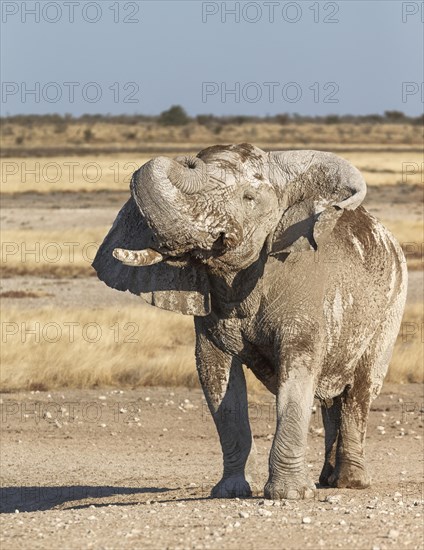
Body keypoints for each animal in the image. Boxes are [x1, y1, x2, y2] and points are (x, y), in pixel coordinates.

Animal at [92, 142, 408, 500]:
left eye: (248, 198)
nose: (188, 160)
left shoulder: (307, 291)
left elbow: (297, 369)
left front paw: (288, 495)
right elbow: (216, 377)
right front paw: (231, 491)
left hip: (391, 306)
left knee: (360, 389)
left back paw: (349, 481)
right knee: (331, 398)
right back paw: (326, 479)